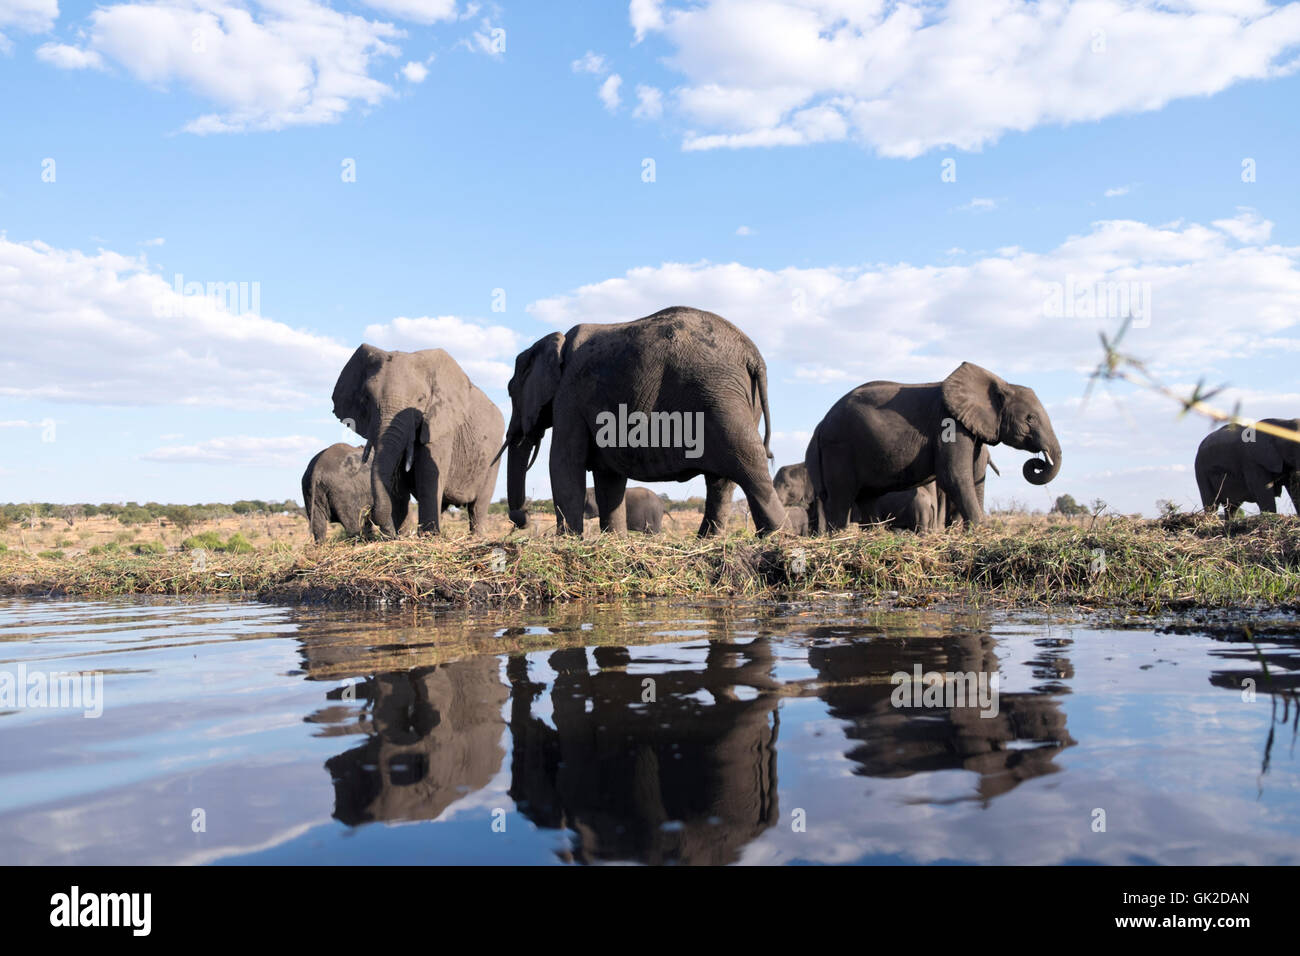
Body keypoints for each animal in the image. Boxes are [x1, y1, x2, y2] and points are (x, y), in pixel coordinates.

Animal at [330, 343, 501, 538]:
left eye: (421, 399)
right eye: (366, 398)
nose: (368, 512)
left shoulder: (441, 425)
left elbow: (428, 475)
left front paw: (428, 537)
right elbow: (397, 481)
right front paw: (402, 537)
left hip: (493, 459)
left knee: (478, 506)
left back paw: (476, 537)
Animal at [493, 306, 780, 535]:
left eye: (510, 390)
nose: (522, 520)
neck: (557, 342)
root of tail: (753, 355)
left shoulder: (569, 397)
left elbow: (564, 464)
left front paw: (569, 542)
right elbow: (609, 478)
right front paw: (614, 541)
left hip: (719, 396)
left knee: (748, 464)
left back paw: (774, 536)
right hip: (734, 399)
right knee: (722, 482)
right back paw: (709, 541)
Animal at [806, 361, 1060, 530]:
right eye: (1030, 419)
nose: (1037, 462)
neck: (1000, 383)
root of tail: (820, 425)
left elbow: (972, 474)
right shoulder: (948, 424)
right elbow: (954, 476)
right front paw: (981, 529)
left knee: (866, 498)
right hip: (839, 448)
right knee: (842, 498)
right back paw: (842, 536)